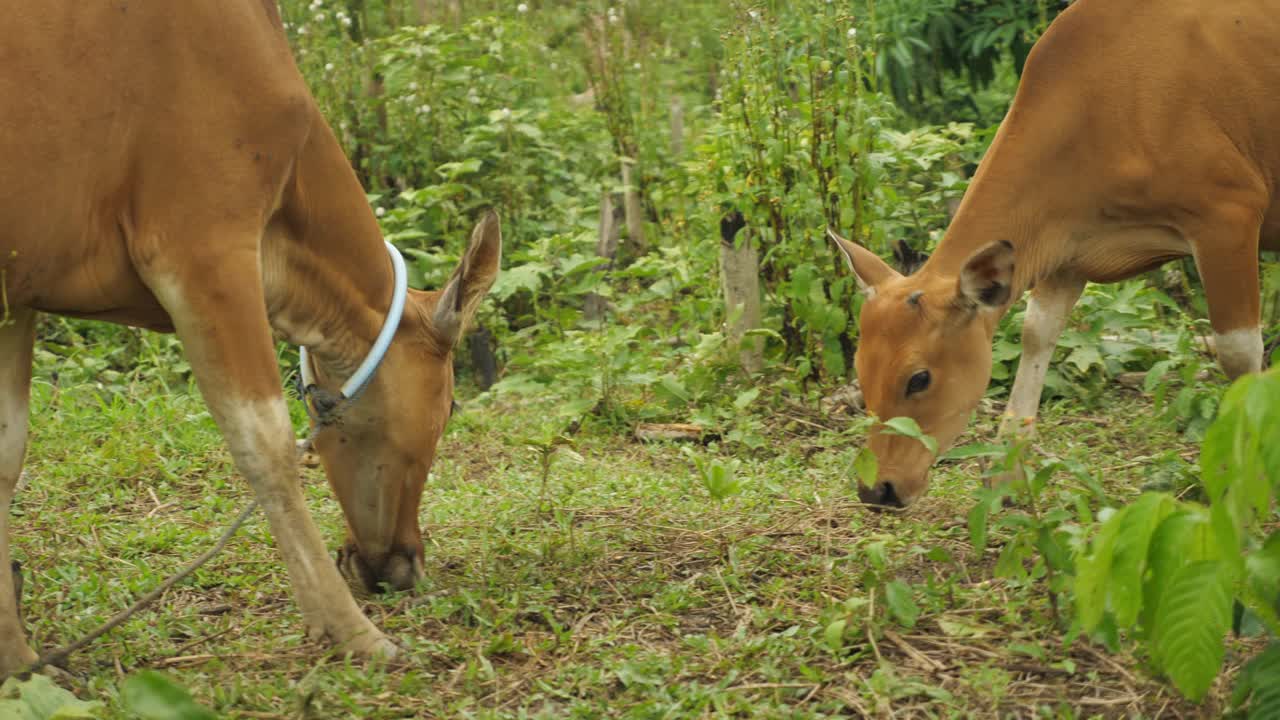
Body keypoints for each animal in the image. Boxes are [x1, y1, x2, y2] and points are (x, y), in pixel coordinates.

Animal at [0, 1, 499, 671]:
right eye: (449, 409)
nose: (402, 564)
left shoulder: (17, 296)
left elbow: (7, 456)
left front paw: (16, 658)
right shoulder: (203, 251)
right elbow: (266, 444)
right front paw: (352, 631)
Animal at [829, 0, 1280, 504]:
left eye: (919, 378)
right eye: (862, 373)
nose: (877, 489)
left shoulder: (1228, 219)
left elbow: (1238, 354)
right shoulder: (1065, 248)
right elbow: (1037, 333)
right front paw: (1008, 471)